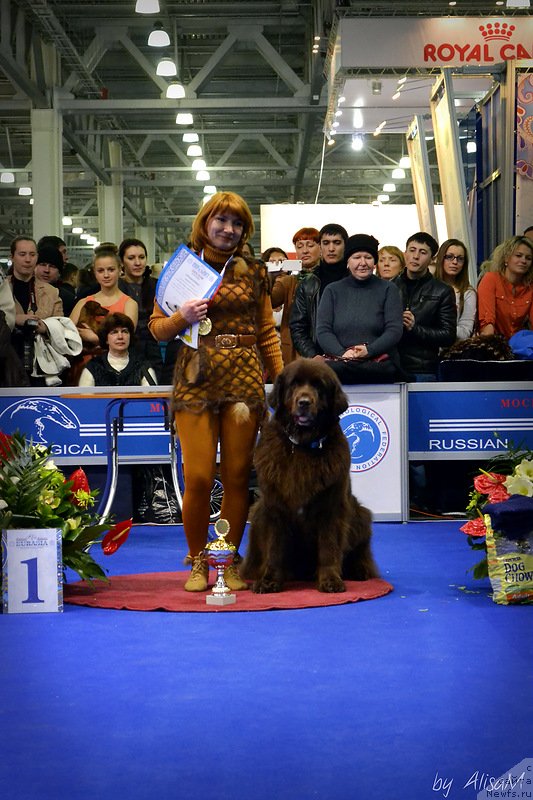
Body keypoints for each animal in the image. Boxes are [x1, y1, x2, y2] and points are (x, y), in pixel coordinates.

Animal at [241, 360, 378, 592]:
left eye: (318, 386)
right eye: (294, 384)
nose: (304, 402)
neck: (302, 446)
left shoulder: (331, 506)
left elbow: (329, 548)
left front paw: (330, 580)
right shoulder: (275, 506)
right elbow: (275, 548)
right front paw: (269, 581)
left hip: (360, 514)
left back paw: (360, 570)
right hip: (258, 512)